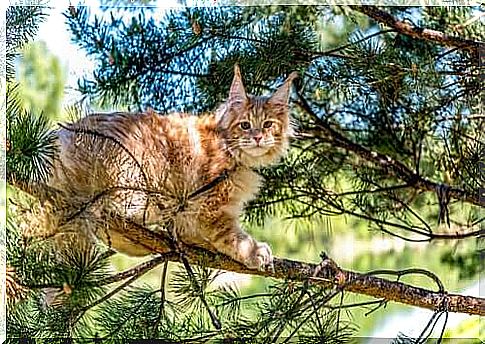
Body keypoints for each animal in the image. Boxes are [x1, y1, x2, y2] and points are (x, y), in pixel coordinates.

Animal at [48, 65, 294, 272]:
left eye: (268, 124)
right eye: (244, 125)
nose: (258, 138)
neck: (233, 152)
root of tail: (61, 138)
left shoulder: (192, 214)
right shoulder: (212, 210)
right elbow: (231, 237)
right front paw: (254, 252)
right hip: (134, 182)